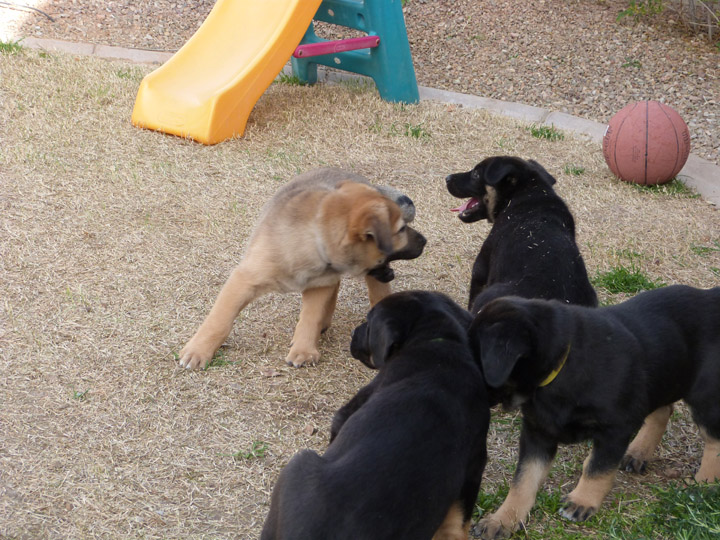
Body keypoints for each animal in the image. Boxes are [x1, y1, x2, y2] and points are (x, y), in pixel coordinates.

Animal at [178, 168, 424, 372]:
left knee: (374, 289)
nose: (425, 241)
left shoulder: (319, 285)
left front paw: (304, 350)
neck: (313, 241)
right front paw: (198, 351)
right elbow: (219, 320)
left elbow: (310, 318)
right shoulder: (243, 280)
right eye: (401, 229)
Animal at [258, 294, 490, 536]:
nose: (353, 333)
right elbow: (461, 519)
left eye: (368, 323)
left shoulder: (348, 411)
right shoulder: (475, 466)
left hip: (298, 465)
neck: (440, 342)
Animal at [466, 284, 720, 536]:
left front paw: (582, 501)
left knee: (713, 439)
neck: (562, 364)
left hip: (704, 395)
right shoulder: (538, 432)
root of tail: (711, 296)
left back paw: (703, 484)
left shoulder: (614, 430)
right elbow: (523, 479)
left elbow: (597, 468)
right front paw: (502, 520)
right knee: (662, 410)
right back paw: (639, 452)